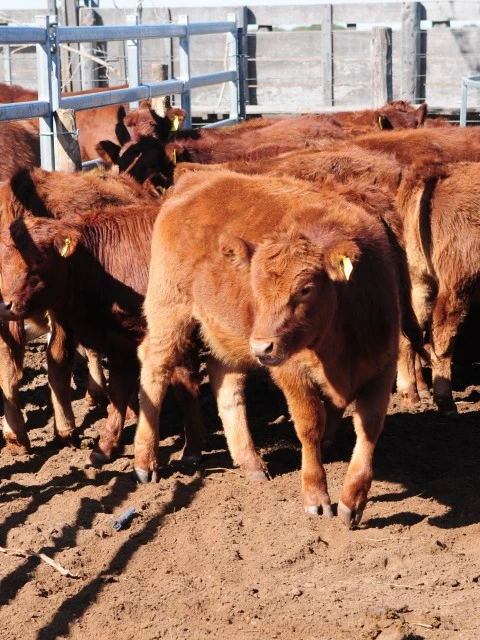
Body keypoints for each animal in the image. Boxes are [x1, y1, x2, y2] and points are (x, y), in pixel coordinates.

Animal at [0, 204, 205, 464]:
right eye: (1, 261)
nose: (5, 304)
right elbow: (118, 389)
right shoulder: (119, 338)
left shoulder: (176, 336)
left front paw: (192, 449)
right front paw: (104, 447)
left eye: (39, 259)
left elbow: (185, 386)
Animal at [133, 169, 401, 528]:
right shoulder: (291, 370)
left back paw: (250, 462)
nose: (262, 346)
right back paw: (144, 461)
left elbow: (370, 427)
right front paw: (316, 497)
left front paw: (352, 502)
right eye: (254, 286)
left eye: (306, 289)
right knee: (155, 365)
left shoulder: (383, 366)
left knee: (225, 380)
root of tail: (198, 179)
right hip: (169, 311)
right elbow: (309, 424)